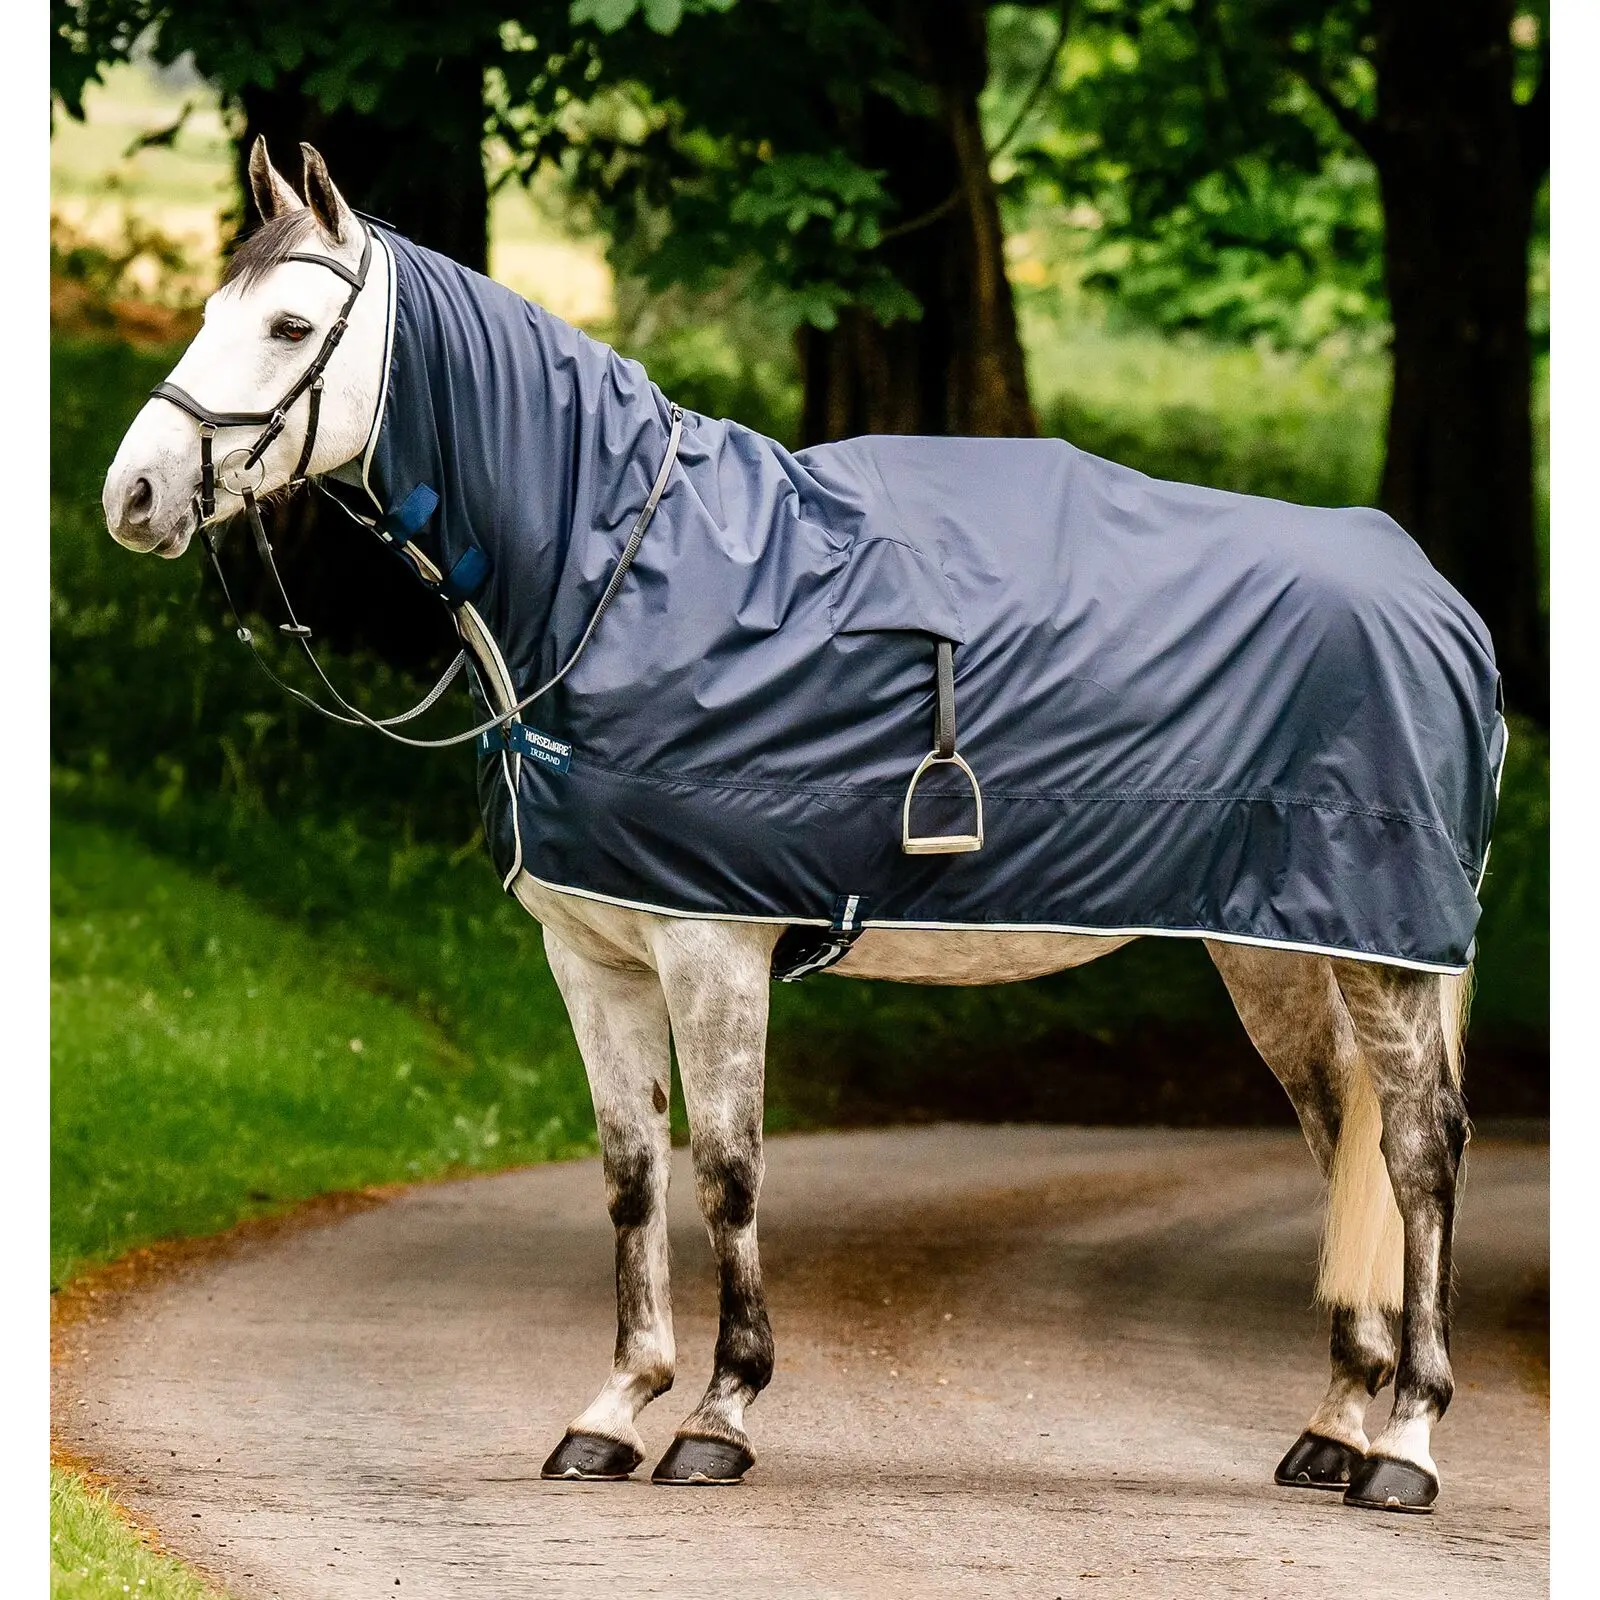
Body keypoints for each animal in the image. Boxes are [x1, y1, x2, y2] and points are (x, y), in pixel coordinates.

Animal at [101, 138, 1502, 1513]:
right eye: (210, 310)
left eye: (289, 325)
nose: (136, 494)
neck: (624, 578)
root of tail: (1440, 600)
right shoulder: (593, 957)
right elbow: (630, 1174)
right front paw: (610, 1412)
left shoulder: (713, 945)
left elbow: (727, 1170)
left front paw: (718, 1417)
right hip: (1274, 950)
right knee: (1340, 1136)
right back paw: (1333, 1427)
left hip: (1382, 954)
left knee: (1420, 1148)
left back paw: (1406, 1445)